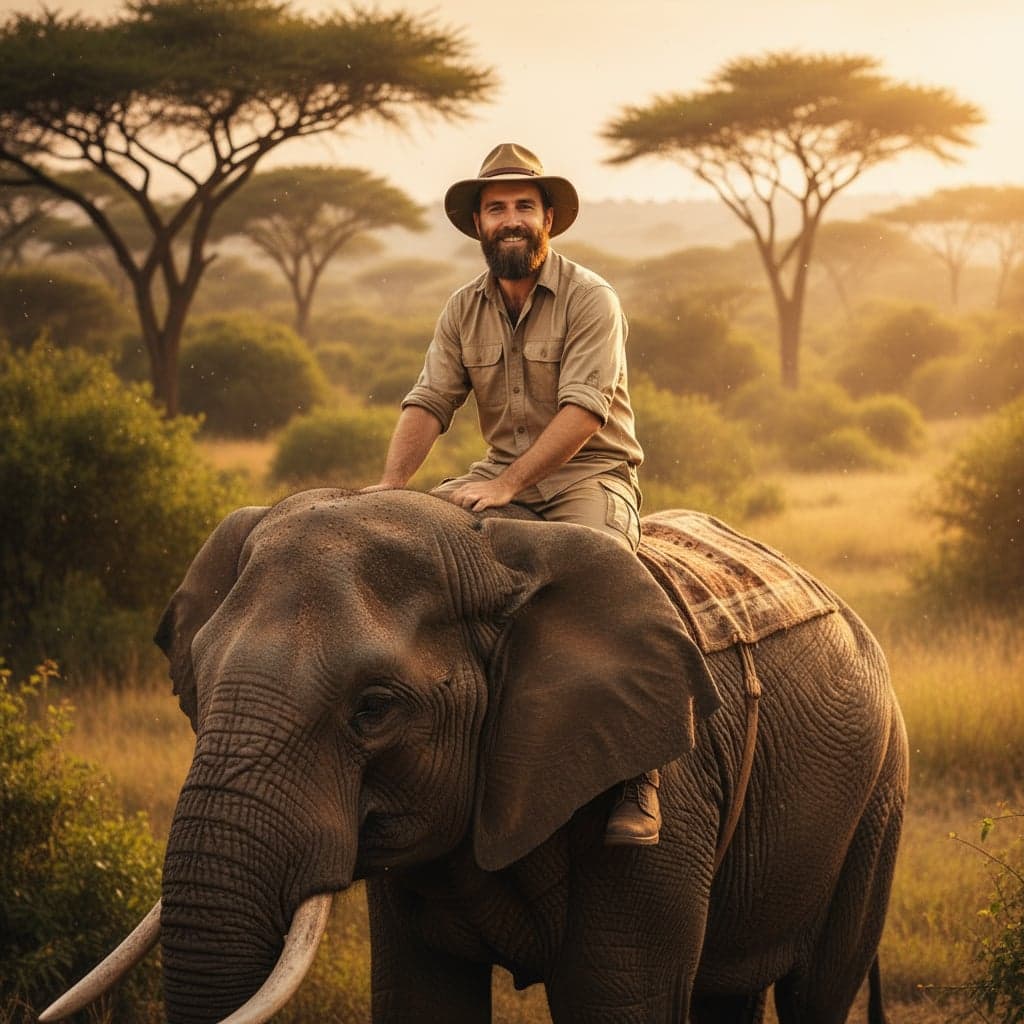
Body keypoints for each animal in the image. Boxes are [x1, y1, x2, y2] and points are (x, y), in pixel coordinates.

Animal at [41, 487, 908, 1024]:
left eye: (374, 709)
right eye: (197, 681)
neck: (496, 555)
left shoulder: (665, 793)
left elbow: (616, 1002)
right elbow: (420, 1001)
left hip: (879, 794)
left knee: (816, 992)